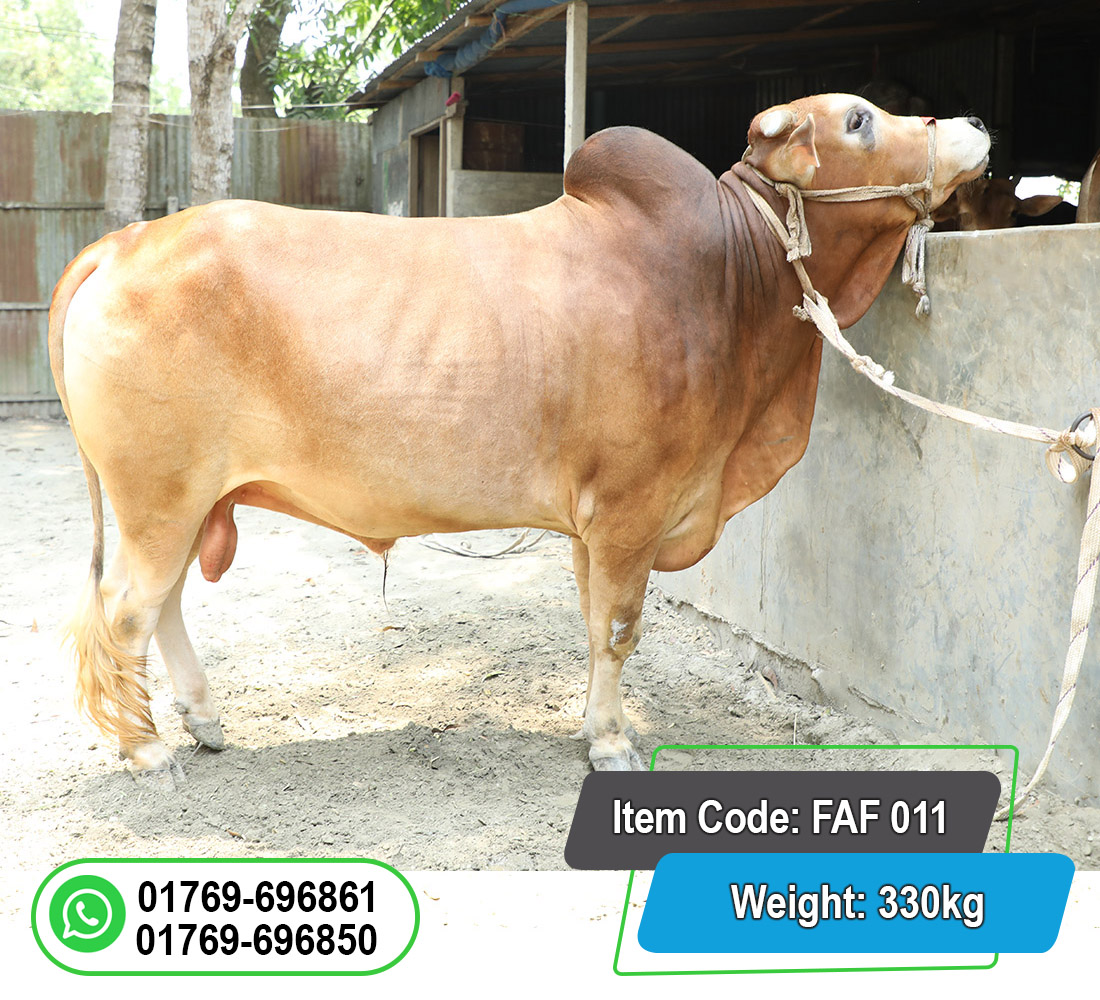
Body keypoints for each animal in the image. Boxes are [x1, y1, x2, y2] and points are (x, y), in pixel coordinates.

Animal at [49, 94, 990, 786]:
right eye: (859, 119)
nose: (975, 126)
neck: (731, 269)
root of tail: (126, 241)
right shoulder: (631, 508)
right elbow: (619, 626)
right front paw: (611, 743)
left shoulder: (596, 522)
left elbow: (593, 620)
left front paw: (591, 725)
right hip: (159, 496)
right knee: (125, 610)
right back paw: (145, 749)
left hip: (187, 500)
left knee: (162, 604)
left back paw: (203, 721)